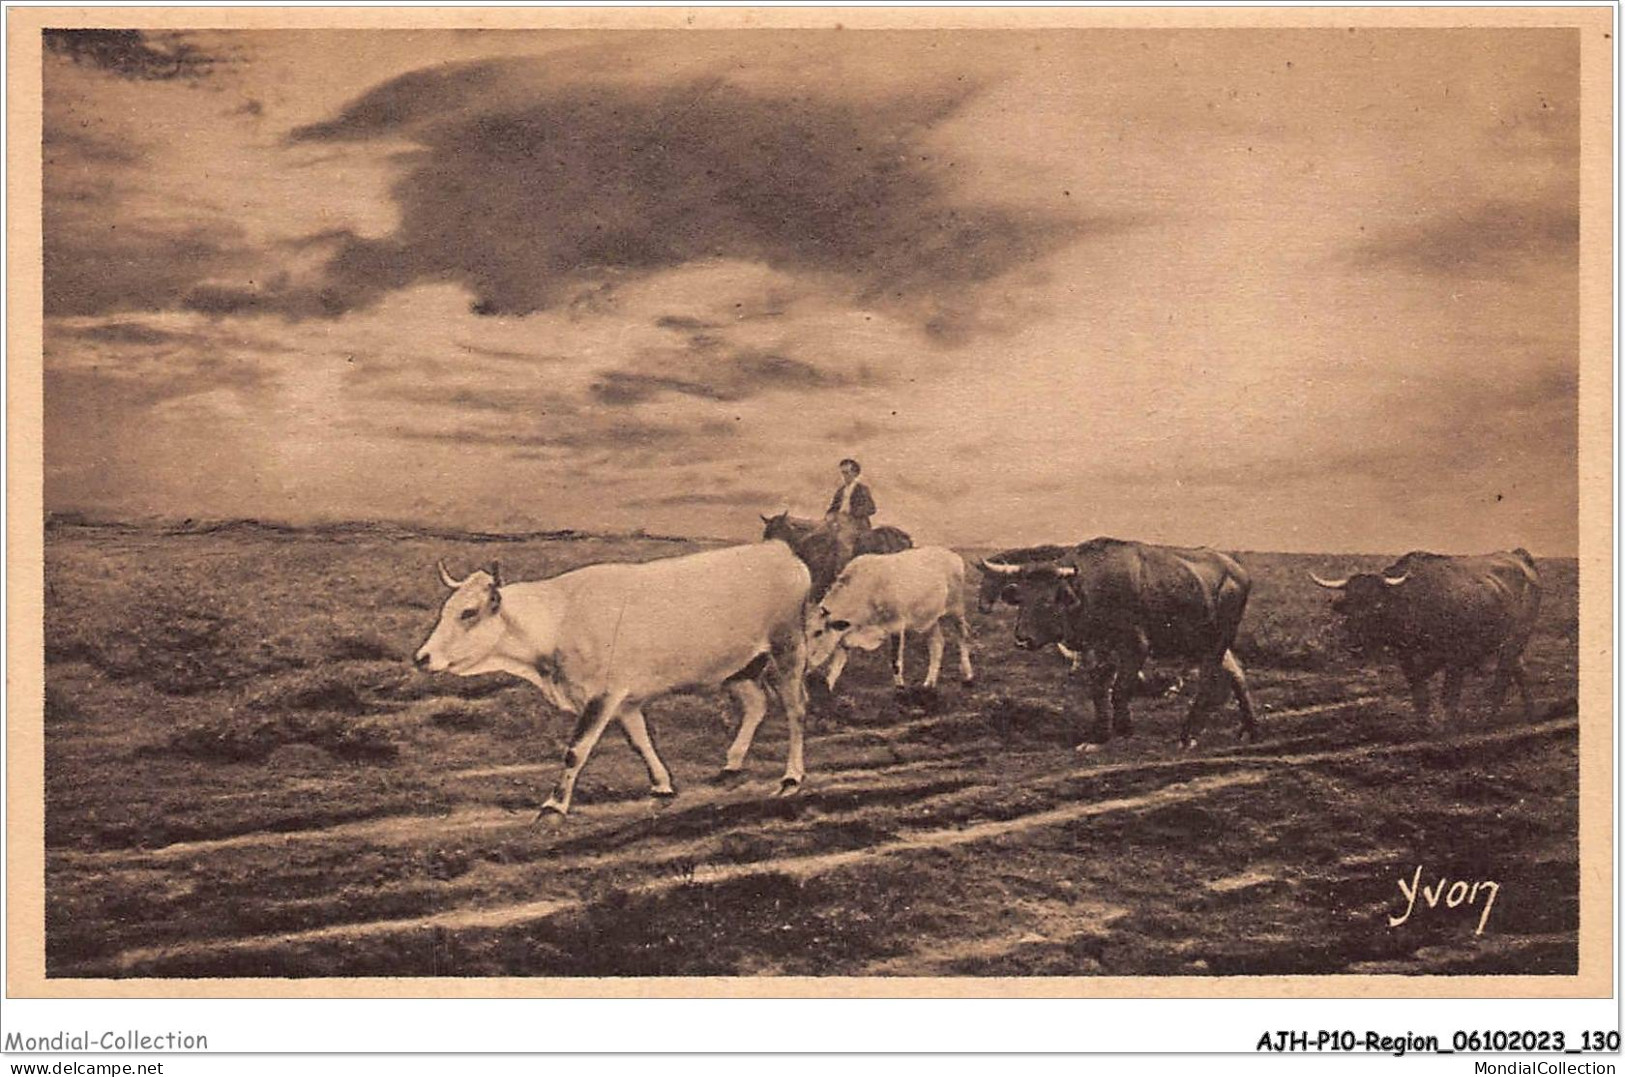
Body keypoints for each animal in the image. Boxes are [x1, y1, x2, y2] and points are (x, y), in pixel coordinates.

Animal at [412, 542, 806, 821]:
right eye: (446, 610)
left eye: (468, 612)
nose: (422, 657)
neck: (558, 619)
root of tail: (780, 552)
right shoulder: (625, 699)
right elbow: (640, 741)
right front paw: (662, 785)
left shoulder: (603, 694)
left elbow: (576, 749)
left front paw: (553, 806)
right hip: (738, 666)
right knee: (757, 704)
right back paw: (731, 766)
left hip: (787, 645)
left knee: (795, 708)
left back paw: (791, 777)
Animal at [802, 549, 968, 692]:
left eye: (818, 632)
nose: (805, 665)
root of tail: (951, 555)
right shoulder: (845, 635)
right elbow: (836, 667)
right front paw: (828, 692)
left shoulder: (896, 626)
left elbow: (895, 662)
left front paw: (900, 690)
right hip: (929, 619)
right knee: (937, 644)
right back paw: (929, 684)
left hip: (957, 608)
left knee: (963, 637)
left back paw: (967, 676)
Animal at [975, 539, 1254, 750]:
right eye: (1021, 598)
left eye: (1047, 600)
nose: (1023, 639)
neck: (1091, 589)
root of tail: (1238, 571)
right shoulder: (1099, 648)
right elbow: (1099, 690)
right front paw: (1098, 737)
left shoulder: (1135, 646)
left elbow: (1120, 689)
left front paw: (1124, 729)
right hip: (1206, 643)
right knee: (1236, 675)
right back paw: (1249, 729)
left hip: (1218, 640)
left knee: (1209, 682)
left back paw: (1189, 735)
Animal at [1313, 549, 1540, 724]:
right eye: (1349, 606)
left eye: (1377, 606)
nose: (1355, 645)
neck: (1415, 599)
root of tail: (1517, 556)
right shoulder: (1406, 654)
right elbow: (1418, 685)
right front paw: (1423, 721)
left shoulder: (1454, 655)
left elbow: (1449, 691)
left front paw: (1448, 724)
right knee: (1521, 671)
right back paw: (1531, 714)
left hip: (1514, 640)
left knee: (1503, 676)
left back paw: (1490, 718)